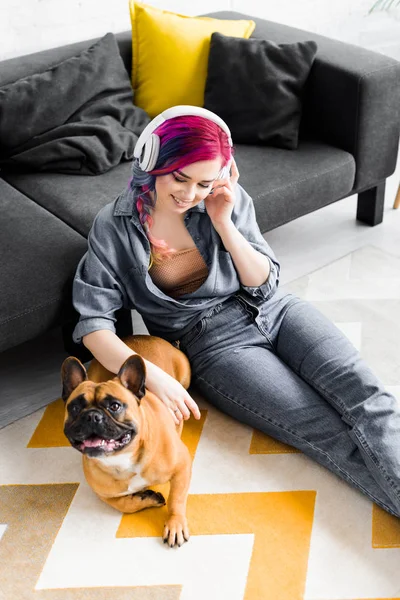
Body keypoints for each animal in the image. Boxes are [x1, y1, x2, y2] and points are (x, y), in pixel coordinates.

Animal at [61, 336, 193, 548]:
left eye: (115, 406)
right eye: (74, 408)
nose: (92, 416)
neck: (122, 459)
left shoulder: (182, 466)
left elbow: (176, 498)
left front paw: (175, 524)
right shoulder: (105, 494)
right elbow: (124, 504)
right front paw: (146, 497)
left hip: (185, 374)